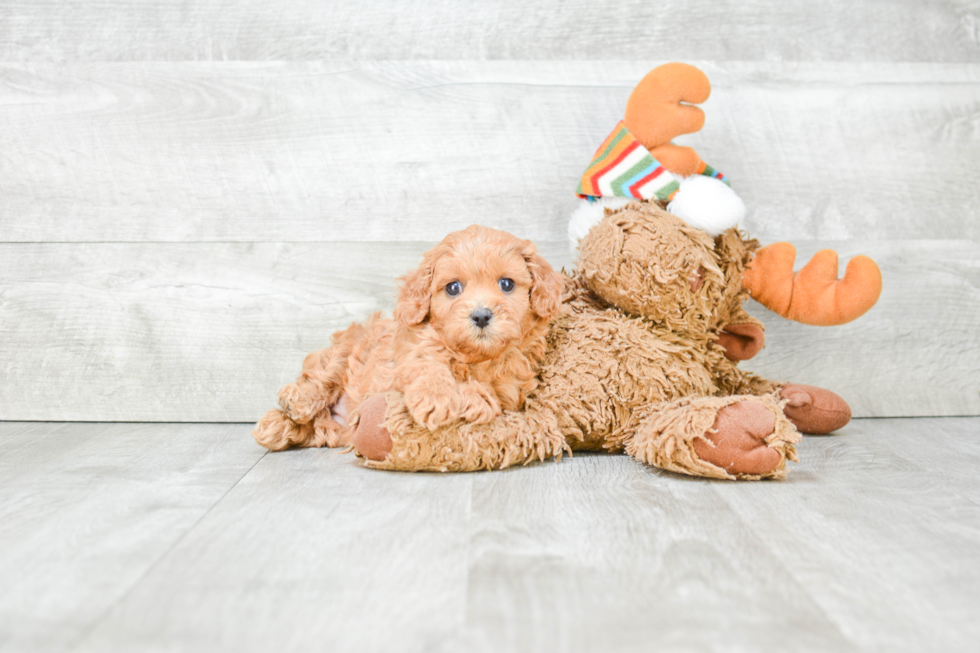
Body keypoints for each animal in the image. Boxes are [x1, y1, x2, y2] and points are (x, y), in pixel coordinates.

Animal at [251, 224, 568, 448]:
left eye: (506, 284)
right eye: (453, 288)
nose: (480, 315)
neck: (472, 357)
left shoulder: (510, 389)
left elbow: (490, 396)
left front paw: (474, 400)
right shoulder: (408, 353)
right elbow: (426, 366)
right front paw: (436, 398)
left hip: (334, 430)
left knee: (312, 428)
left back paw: (277, 426)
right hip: (345, 349)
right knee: (317, 380)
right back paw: (290, 406)